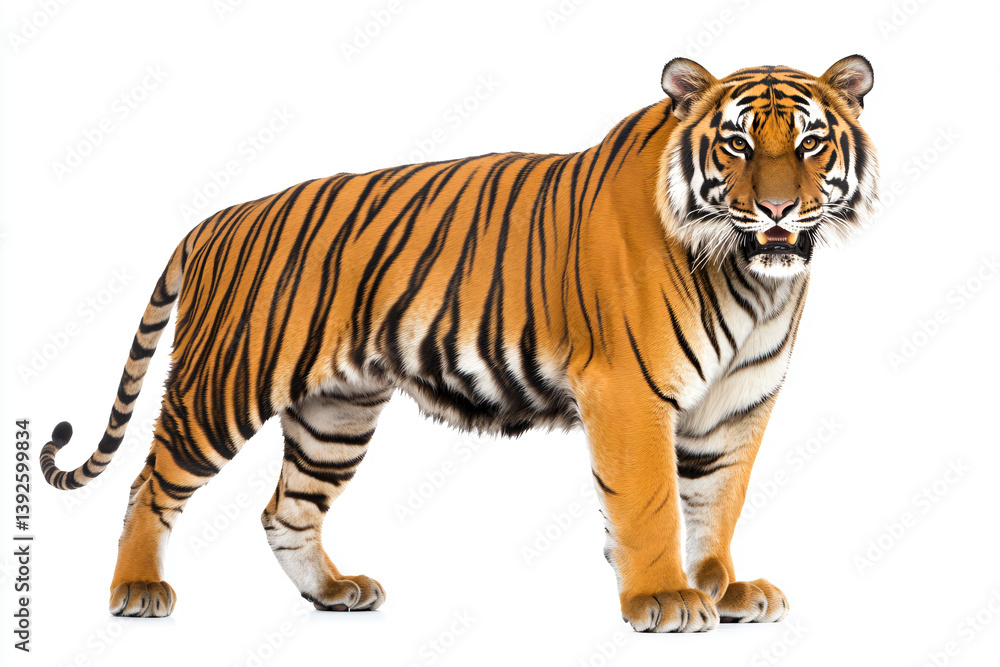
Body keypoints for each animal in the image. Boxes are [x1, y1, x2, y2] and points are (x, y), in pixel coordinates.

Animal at [40, 55, 877, 632]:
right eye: (736, 144)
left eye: (811, 144)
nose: (778, 210)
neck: (753, 280)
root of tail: (216, 219)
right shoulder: (630, 392)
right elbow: (651, 502)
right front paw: (664, 597)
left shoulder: (739, 405)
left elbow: (717, 502)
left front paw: (722, 588)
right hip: (223, 385)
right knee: (150, 483)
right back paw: (135, 590)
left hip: (335, 414)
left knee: (286, 509)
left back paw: (334, 592)